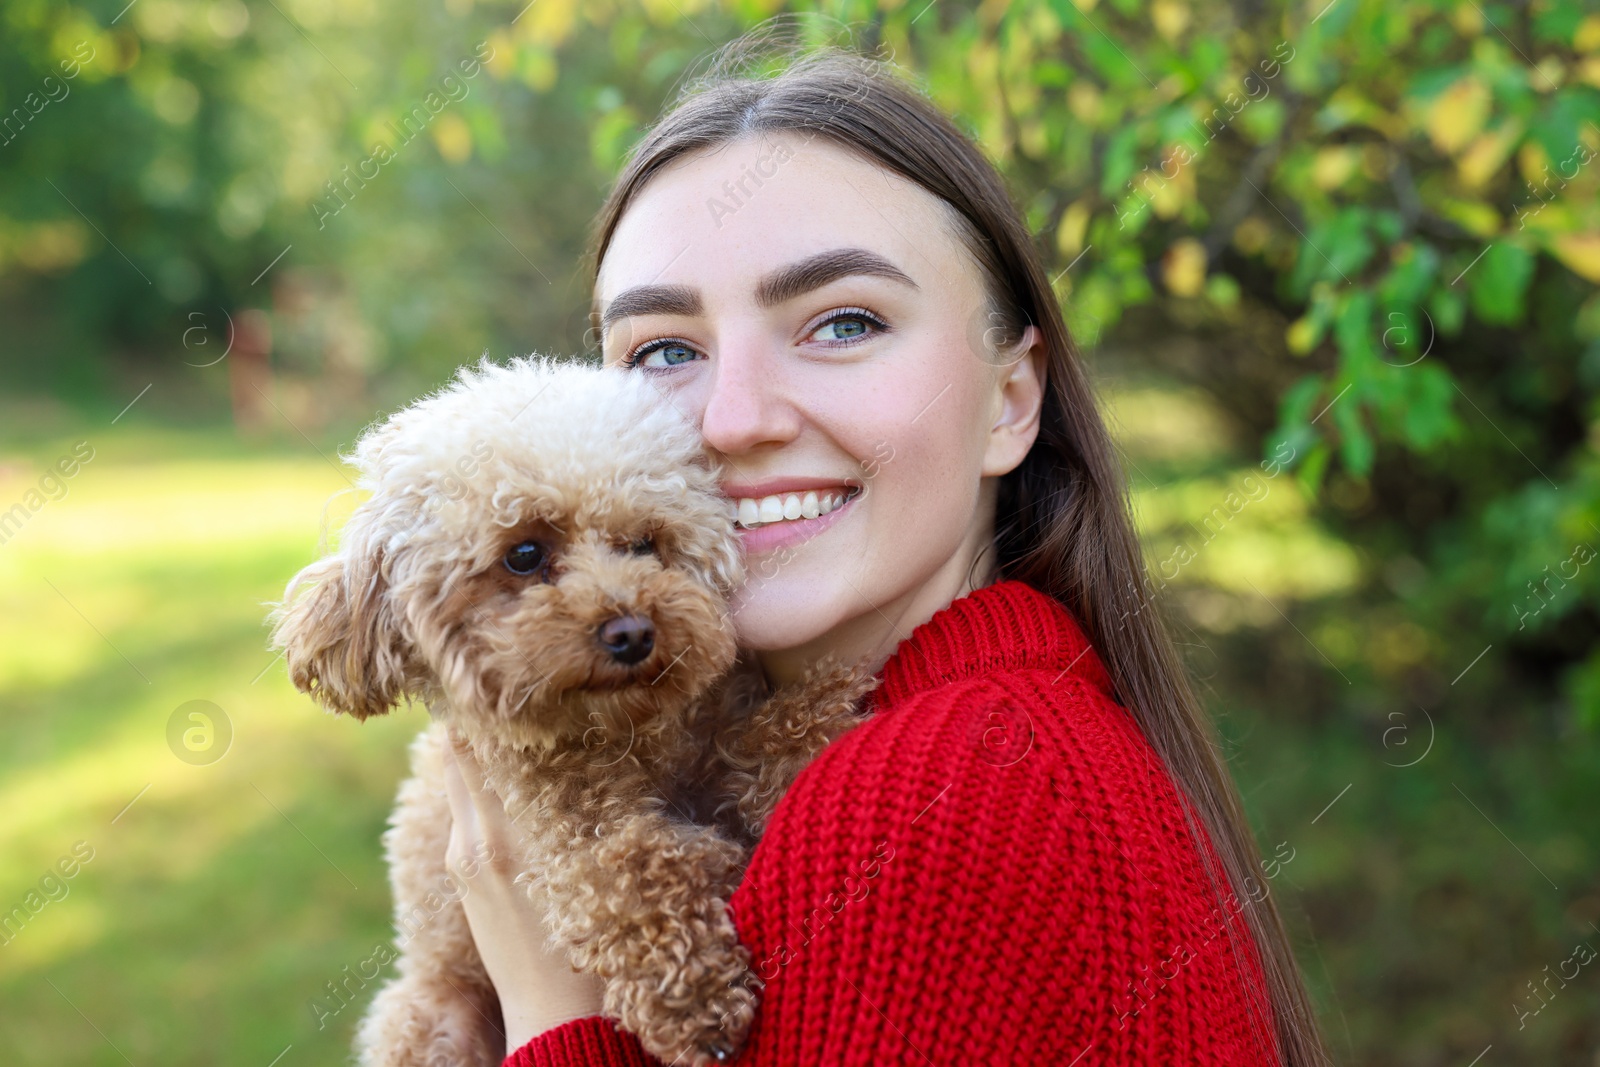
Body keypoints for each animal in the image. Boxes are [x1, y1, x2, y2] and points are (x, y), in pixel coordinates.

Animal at [272, 358, 876, 1067]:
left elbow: (746, 741)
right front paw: (689, 993)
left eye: (644, 543)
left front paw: (817, 711)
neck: (632, 733)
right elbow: (625, 868)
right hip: (426, 1020)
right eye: (524, 554)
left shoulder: (706, 732)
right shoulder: (558, 821)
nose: (633, 633)